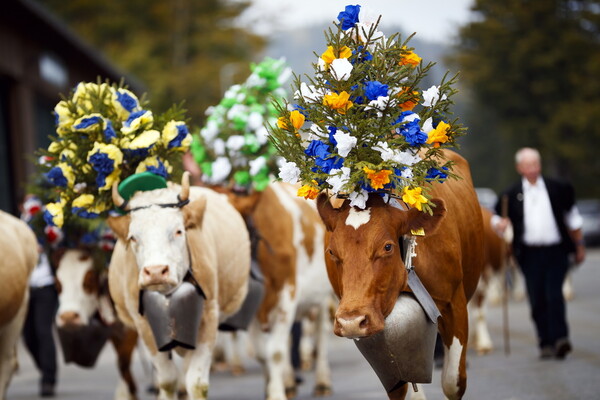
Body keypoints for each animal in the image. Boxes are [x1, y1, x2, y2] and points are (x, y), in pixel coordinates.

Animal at [107, 173, 248, 400]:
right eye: (133, 237)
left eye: (179, 231)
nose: (156, 271)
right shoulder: (144, 326)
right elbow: (167, 380)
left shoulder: (208, 319)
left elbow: (197, 383)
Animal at [314, 151, 482, 400]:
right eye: (332, 252)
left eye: (387, 247)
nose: (350, 322)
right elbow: (399, 385)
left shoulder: (455, 304)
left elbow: (453, 382)